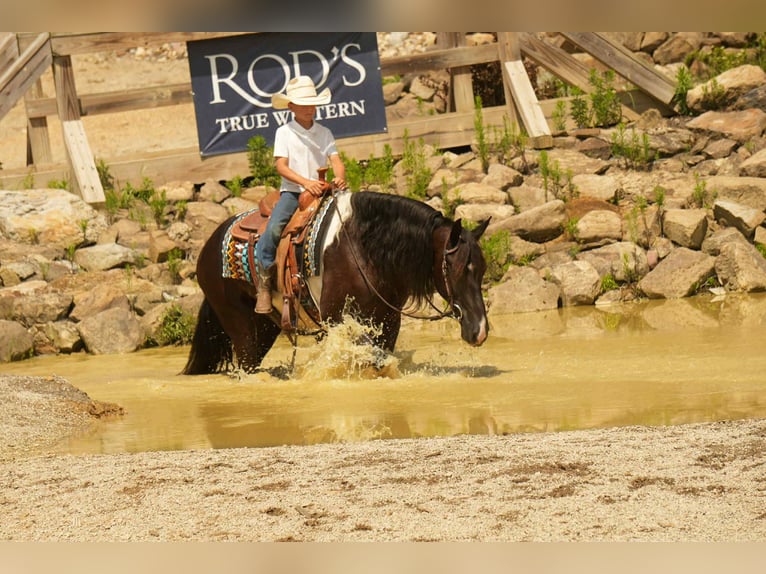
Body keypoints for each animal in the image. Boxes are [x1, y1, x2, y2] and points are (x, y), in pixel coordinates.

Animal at [182, 190, 490, 375]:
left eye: (482, 270)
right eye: (456, 268)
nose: (480, 331)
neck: (363, 248)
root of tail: (208, 246)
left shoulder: (388, 320)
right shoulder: (337, 318)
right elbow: (371, 355)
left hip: (266, 325)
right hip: (238, 321)